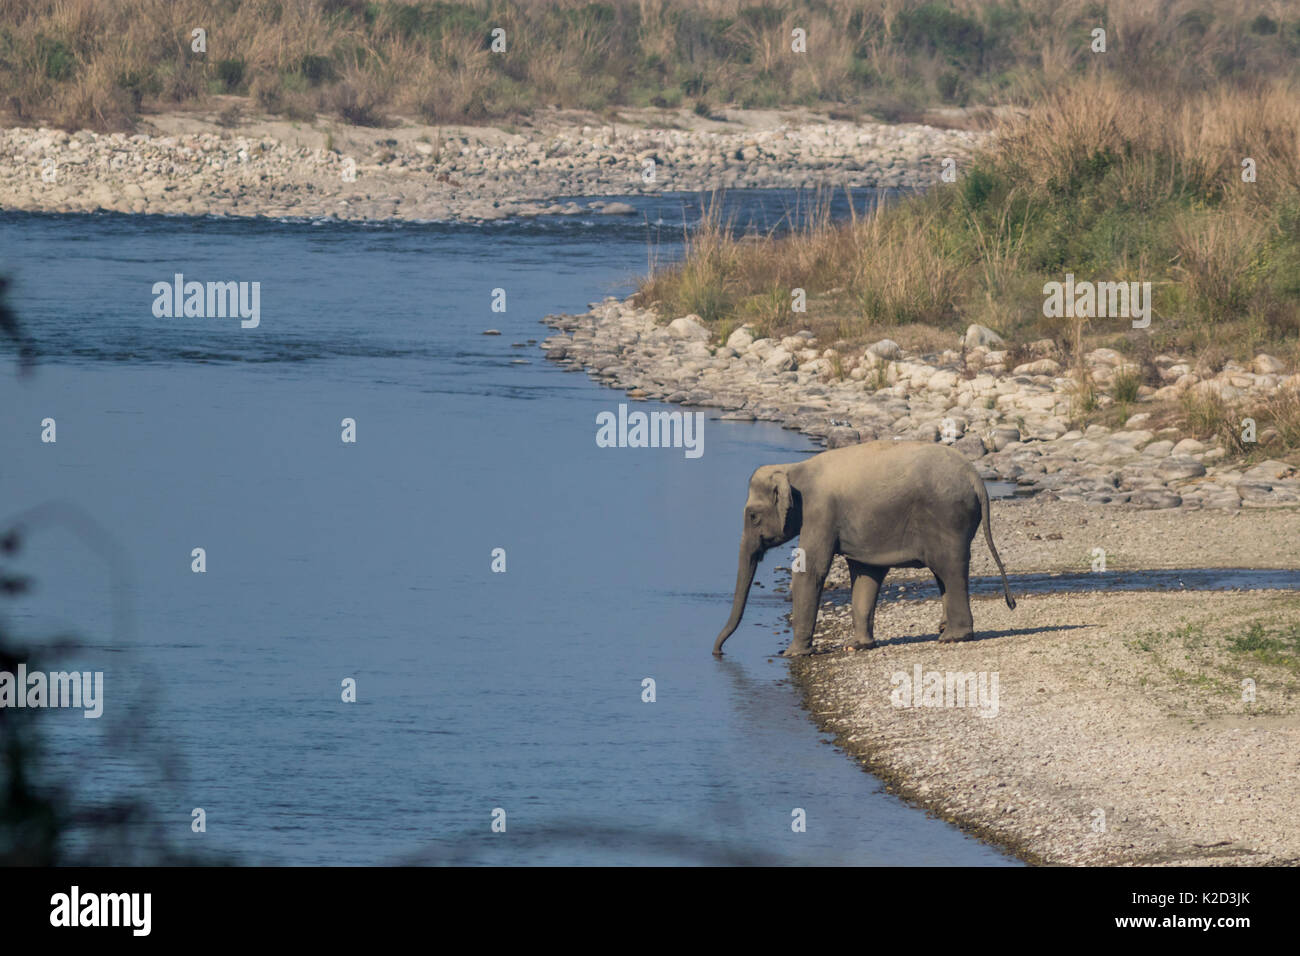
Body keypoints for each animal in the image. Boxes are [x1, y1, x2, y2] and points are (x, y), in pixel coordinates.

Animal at [712, 442, 1013, 658]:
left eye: (752, 516)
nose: (717, 652)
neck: (792, 469)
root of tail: (975, 477)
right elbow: (866, 573)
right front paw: (858, 645)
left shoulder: (819, 512)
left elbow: (811, 572)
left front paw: (792, 654)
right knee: (944, 575)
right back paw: (946, 633)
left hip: (947, 517)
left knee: (949, 569)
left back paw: (954, 637)